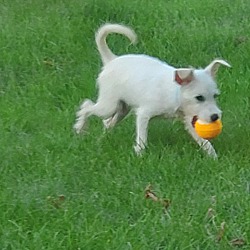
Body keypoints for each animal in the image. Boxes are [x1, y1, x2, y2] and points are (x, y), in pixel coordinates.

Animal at [74, 23, 230, 156]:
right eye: (199, 97)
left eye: (215, 96)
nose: (215, 117)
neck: (174, 93)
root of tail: (111, 60)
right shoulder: (144, 114)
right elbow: (142, 138)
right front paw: (139, 154)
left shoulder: (188, 118)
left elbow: (203, 140)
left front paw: (213, 157)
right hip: (108, 105)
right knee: (86, 106)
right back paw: (80, 128)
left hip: (122, 109)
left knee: (106, 122)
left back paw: (102, 139)